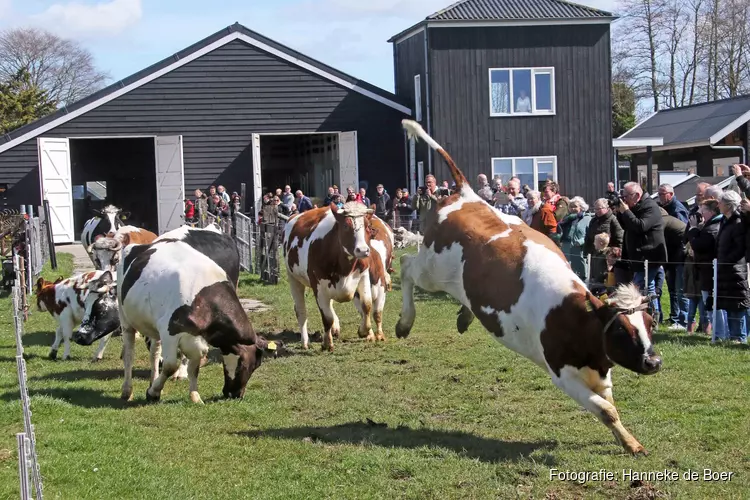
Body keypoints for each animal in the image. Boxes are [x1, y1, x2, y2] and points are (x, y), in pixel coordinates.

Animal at [73, 229, 272, 402]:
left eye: (257, 366)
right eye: (246, 365)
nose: (236, 394)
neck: (201, 297)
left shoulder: (195, 338)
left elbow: (194, 365)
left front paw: (194, 395)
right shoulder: (170, 331)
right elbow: (170, 365)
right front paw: (153, 392)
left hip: (153, 326)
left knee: (154, 353)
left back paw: (152, 379)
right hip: (127, 320)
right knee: (129, 354)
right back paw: (127, 390)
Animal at [284, 201, 396, 350]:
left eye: (368, 226)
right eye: (345, 226)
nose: (363, 250)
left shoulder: (364, 278)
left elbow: (367, 306)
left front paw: (366, 332)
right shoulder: (318, 286)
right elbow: (327, 318)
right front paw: (327, 343)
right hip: (293, 279)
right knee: (301, 310)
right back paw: (305, 342)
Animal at [396, 119, 660, 456]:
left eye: (651, 323)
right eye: (621, 330)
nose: (654, 361)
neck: (577, 318)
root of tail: (466, 195)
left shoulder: (601, 371)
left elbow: (610, 406)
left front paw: (627, 440)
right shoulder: (562, 374)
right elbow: (606, 409)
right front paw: (629, 442)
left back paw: (465, 316)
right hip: (432, 268)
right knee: (405, 265)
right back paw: (405, 322)